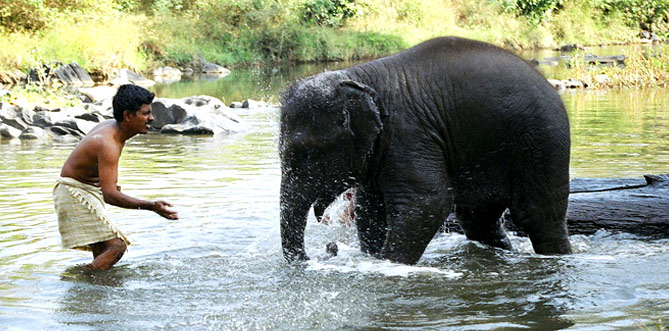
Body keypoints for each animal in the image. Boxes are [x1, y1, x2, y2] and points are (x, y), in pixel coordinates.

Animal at [280, 35, 572, 264]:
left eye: (310, 153)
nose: (328, 249)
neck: (359, 76)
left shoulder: (408, 134)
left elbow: (427, 203)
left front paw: (388, 264)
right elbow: (370, 210)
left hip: (543, 144)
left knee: (538, 216)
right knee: (478, 219)